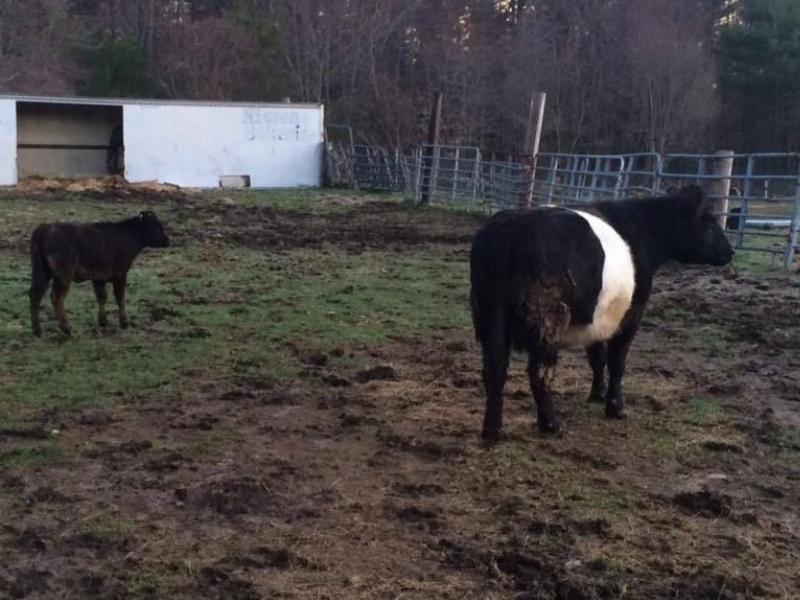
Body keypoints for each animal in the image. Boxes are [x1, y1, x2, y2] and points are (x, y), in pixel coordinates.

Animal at [29, 211, 170, 336]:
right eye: (156, 226)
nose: (167, 240)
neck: (126, 235)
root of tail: (44, 228)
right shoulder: (120, 275)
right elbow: (120, 298)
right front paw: (124, 322)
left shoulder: (99, 278)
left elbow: (102, 297)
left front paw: (103, 322)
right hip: (63, 276)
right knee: (56, 298)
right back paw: (66, 328)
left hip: (41, 273)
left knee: (35, 295)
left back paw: (37, 331)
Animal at [470, 186, 733, 440]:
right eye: (708, 221)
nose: (730, 252)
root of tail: (509, 230)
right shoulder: (630, 315)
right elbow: (617, 362)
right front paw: (615, 407)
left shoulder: (598, 319)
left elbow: (597, 357)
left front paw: (596, 395)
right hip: (548, 319)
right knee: (540, 371)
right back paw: (550, 424)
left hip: (489, 313)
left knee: (494, 370)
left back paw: (492, 429)